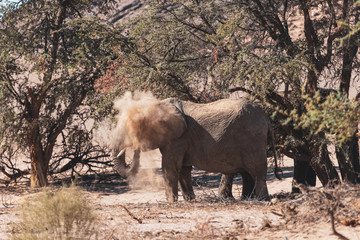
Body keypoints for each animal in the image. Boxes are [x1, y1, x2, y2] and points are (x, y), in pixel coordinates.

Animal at [111, 94, 280, 202]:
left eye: (133, 127)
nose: (135, 146)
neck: (158, 105)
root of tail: (265, 117)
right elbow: (183, 169)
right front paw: (190, 200)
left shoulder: (178, 139)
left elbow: (170, 166)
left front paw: (171, 202)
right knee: (247, 172)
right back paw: (247, 199)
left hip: (252, 139)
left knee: (256, 170)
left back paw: (262, 199)